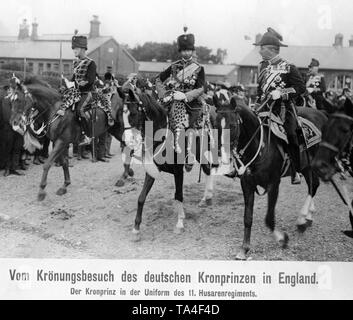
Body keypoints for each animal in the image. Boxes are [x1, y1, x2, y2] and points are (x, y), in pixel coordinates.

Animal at [121, 90, 219, 240]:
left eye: (133, 113)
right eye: (121, 114)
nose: (126, 141)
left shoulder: (178, 171)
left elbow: (178, 195)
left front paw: (180, 223)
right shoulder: (152, 170)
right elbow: (141, 198)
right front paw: (136, 228)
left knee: (210, 169)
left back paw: (207, 196)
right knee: (207, 170)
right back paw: (205, 199)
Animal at [214, 97, 328, 260]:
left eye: (233, 125)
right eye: (215, 125)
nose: (222, 157)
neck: (260, 146)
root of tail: (321, 113)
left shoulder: (273, 184)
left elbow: (268, 218)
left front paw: (282, 239)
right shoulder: (247, 184)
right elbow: (247, 218)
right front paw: (244, 249)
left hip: (309, 165)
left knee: (313, 186)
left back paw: (302, 219)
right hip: (307, 167)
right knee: (314, 185)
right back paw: (308, 217)